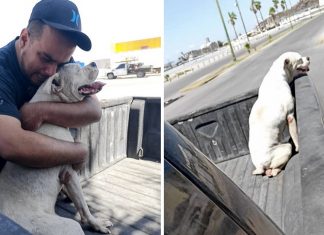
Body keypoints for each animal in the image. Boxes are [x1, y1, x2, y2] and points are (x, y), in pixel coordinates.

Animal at [0, 62, 112, 235]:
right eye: (77, 70)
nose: (94, 62)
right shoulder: (70, 172)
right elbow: (83, 204)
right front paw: (97, 223)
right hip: (70, 226)